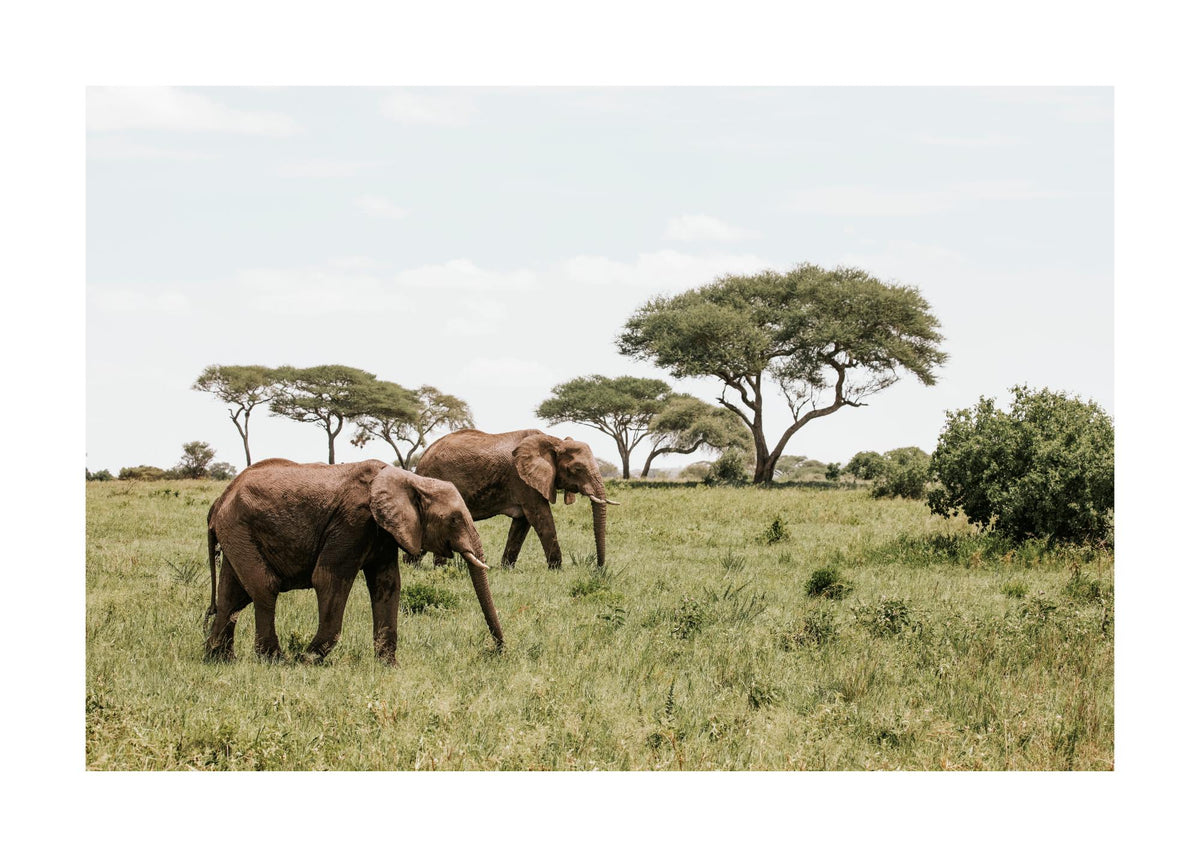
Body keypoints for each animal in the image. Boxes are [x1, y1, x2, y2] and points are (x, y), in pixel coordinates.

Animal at [203, 457, 504, 663]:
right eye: (454, 519)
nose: (497, 651)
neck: (409, 478)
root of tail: (220, 499)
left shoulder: (383, 531)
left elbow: (387, 584)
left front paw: (388, 666)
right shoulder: (353, 522)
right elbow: (329, 580)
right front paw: (307, 660)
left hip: (237, 534)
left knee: (232, 595)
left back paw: (218, 659)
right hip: (238, 526)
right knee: (264, 586)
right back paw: (276, 659)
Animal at [416, 429, 618, 569]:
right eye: (577, 469)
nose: (599, 568)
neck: (554, 441)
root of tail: (422, 458)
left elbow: (522, 524)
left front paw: (506, 569)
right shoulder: (523, 480)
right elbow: (541, 518)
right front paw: (556, 569)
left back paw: (414, 566)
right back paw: (438, 569)